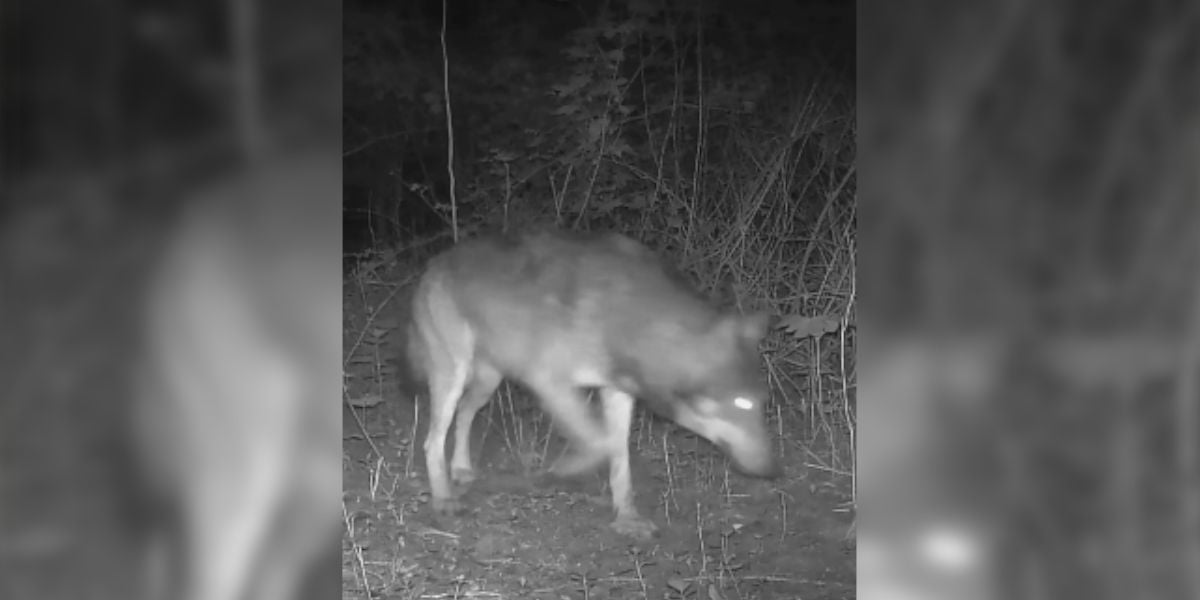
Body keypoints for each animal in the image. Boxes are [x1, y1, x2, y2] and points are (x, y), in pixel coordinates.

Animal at [407, 229, 779, 539]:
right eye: (743, 404)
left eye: (763, 403)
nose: (772, 468)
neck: (635, 321)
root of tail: (435, 262)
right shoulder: (550, 382)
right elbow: (601, 444)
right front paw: (562, 470)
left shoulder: (618, 393)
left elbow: (619, 459)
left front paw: (627, 518)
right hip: (454, 375)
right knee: (431, 440)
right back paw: (443, 498)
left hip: (487, 382)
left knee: (464, 414)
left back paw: (461, 468)